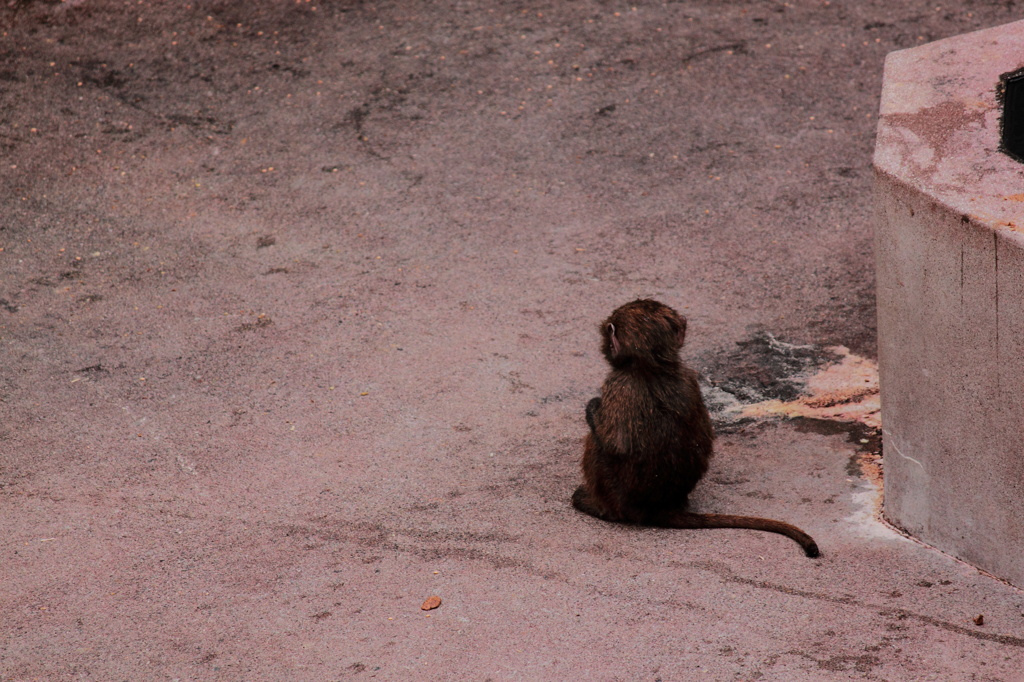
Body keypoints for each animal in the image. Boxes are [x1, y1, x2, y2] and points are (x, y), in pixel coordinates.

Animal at [573, 301, 819, 557]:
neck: (655, 366)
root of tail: (661, 508)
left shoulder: (618, 383)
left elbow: (616, 444)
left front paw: (592, 407)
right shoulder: (690, 377)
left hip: (614, 497)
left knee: (596, 444)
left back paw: (596, 507)